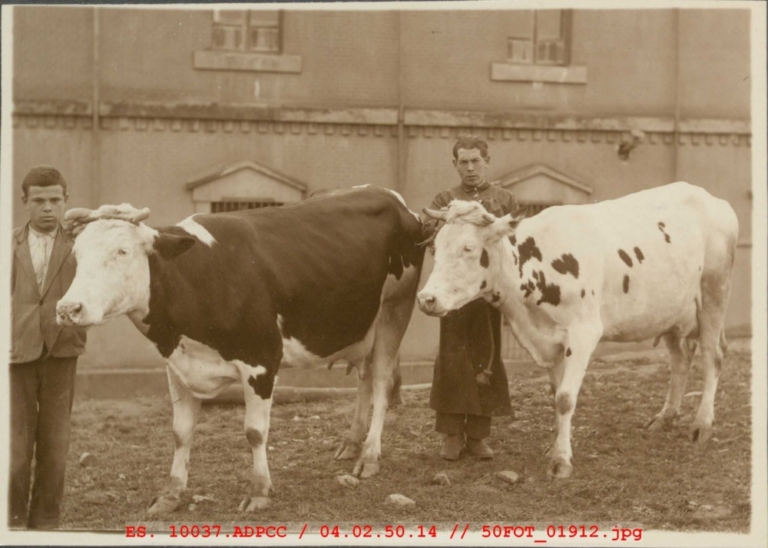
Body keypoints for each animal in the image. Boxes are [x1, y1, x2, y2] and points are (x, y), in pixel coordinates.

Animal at [56, 186, 425, 513]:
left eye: (122, 252)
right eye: (77, 255)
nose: (68, 308)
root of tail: (392, 197)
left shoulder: (261, 362)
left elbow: (255, 432)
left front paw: (259, 491)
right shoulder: (177, 366)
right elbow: (180, 433)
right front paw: (171, 494)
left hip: (395, 310)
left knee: (381, 381)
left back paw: (369, 454)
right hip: (362, 327)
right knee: (364, 380)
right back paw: (350, 443)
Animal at [417, 182, 738, 479]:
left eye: (468, 248)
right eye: (435, 246)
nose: (426, 298)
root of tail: (711, 198)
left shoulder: (584, 332)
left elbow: (565, 398)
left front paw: (561, 461)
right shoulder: (548, 340)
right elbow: (555, 393)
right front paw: (555, 446)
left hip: (714, 292)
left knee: (713, 355)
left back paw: (702, 426)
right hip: (671, 310)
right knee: (681, 358)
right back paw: (665, 418)